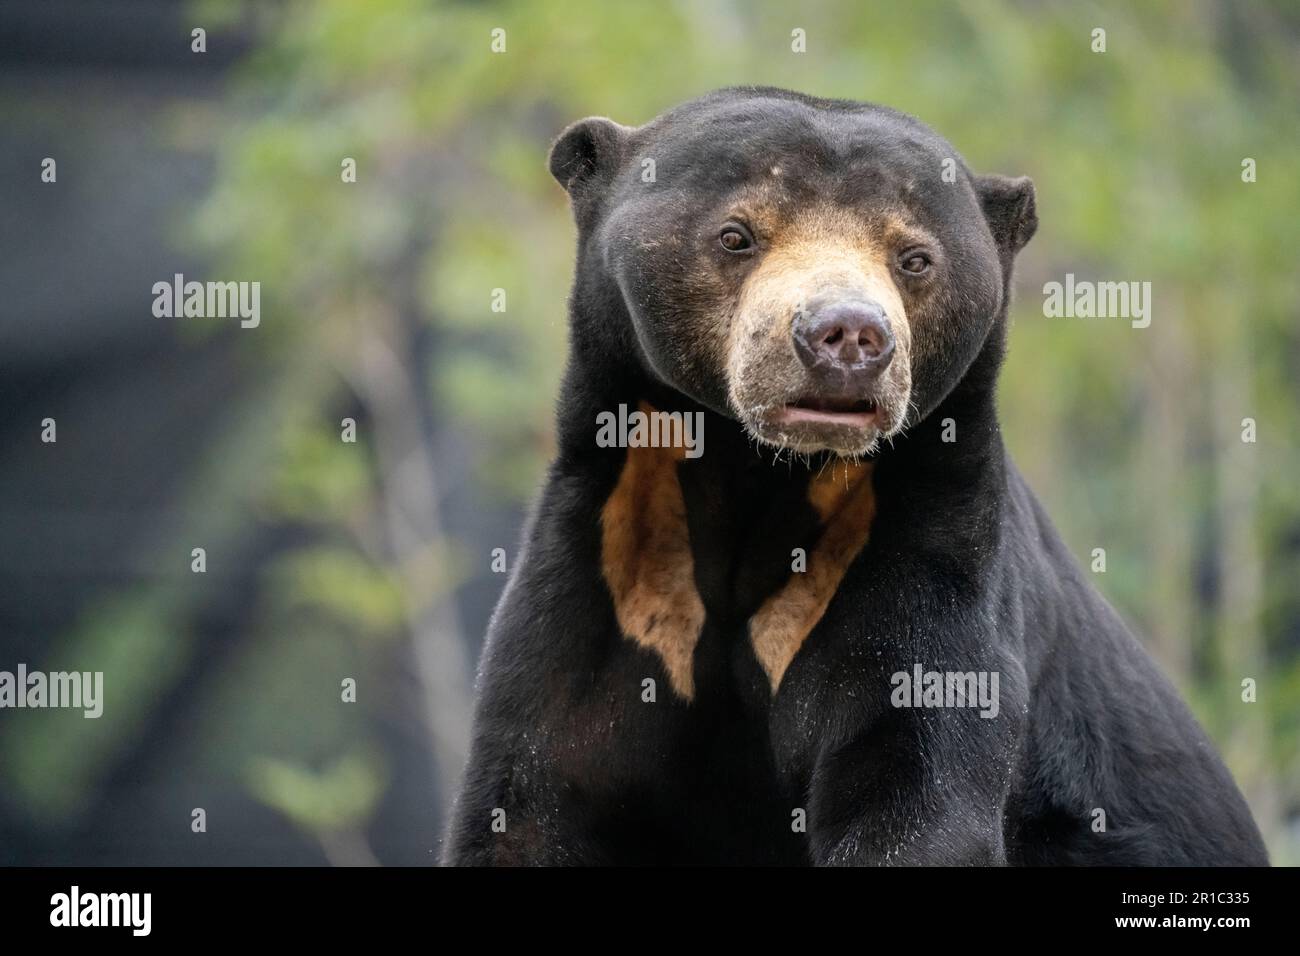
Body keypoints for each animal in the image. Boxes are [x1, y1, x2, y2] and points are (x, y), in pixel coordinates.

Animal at [444, 89, 1268, 868]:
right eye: (737, 235)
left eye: (914, 258)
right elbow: (534, 793)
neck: (759, 475)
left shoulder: (927, 551)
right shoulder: (613, 570)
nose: (848, 337)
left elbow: (915, 782)